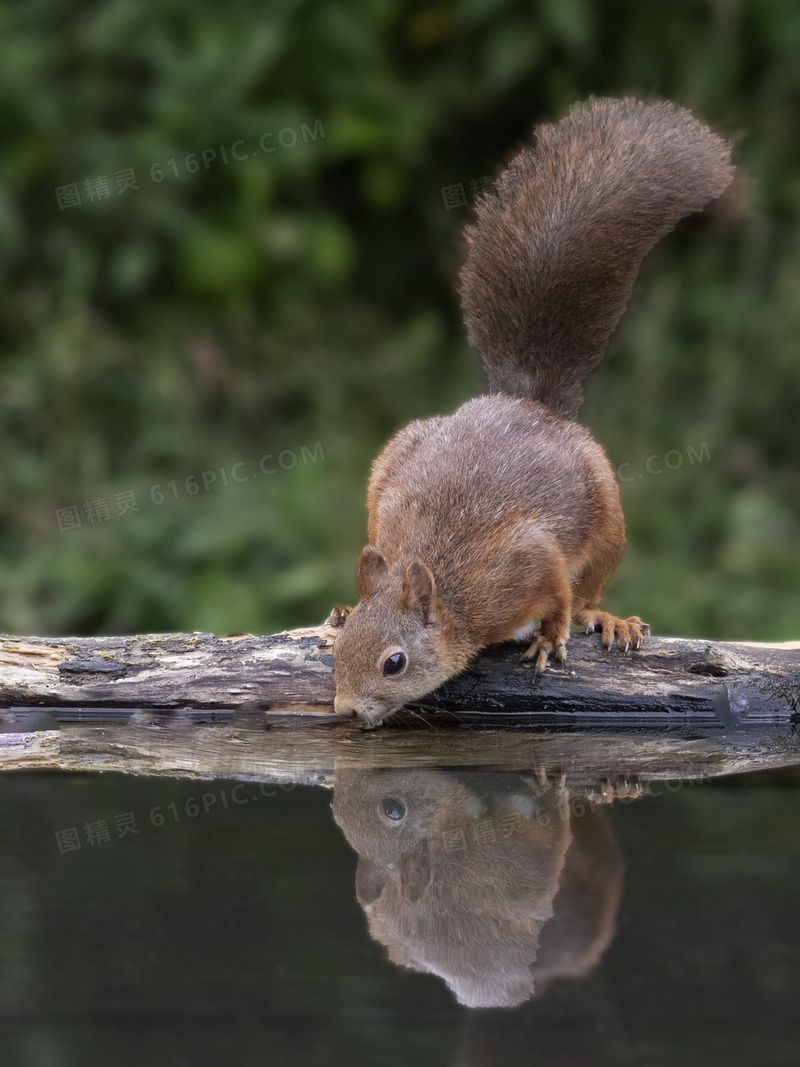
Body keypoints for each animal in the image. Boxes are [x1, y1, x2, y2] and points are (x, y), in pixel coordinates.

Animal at [328, 98, 738, 725]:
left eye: (394, 663)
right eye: (340, 655)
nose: (345, 712)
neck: (449, 590)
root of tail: (524, 401)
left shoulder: (526, 560)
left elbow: (559, 598)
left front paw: (549, 638)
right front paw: (344, 615)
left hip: (608, 515)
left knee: (589, 589)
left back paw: (607, 619)